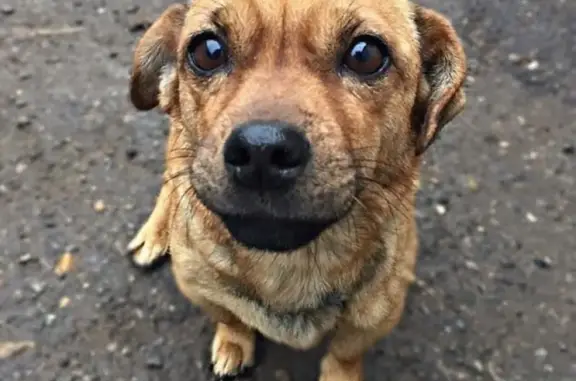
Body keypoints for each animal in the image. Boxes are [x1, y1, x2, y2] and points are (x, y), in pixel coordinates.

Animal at [127, 0, 468, 378]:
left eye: (365, 54)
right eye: (208, 51)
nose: (262, 150)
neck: (287, 264)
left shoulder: (376, 314)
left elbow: (344, 352)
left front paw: (340, 375)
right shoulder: (200, 289)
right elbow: (231, 317)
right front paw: (234, 341)